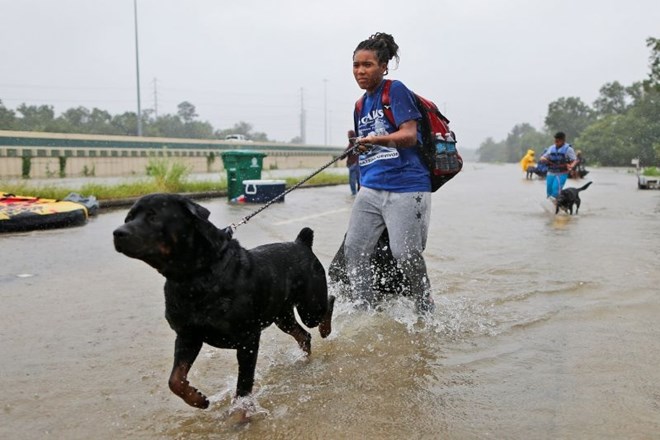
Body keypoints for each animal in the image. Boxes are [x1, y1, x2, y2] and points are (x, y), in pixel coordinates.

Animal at [113, 193, 336, 416]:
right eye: (128, 217)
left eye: (153, 216)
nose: (117, 232)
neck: (195, 277)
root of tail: (301, 243)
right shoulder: (188, 335)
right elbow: (175, 379)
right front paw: (198, 399)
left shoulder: (248, 339)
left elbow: (243, 385)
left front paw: (242, 413)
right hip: (282, 317)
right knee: (303, 335)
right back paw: (303, 359)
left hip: (310, 307)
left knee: (328, 303)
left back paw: (325, 329)